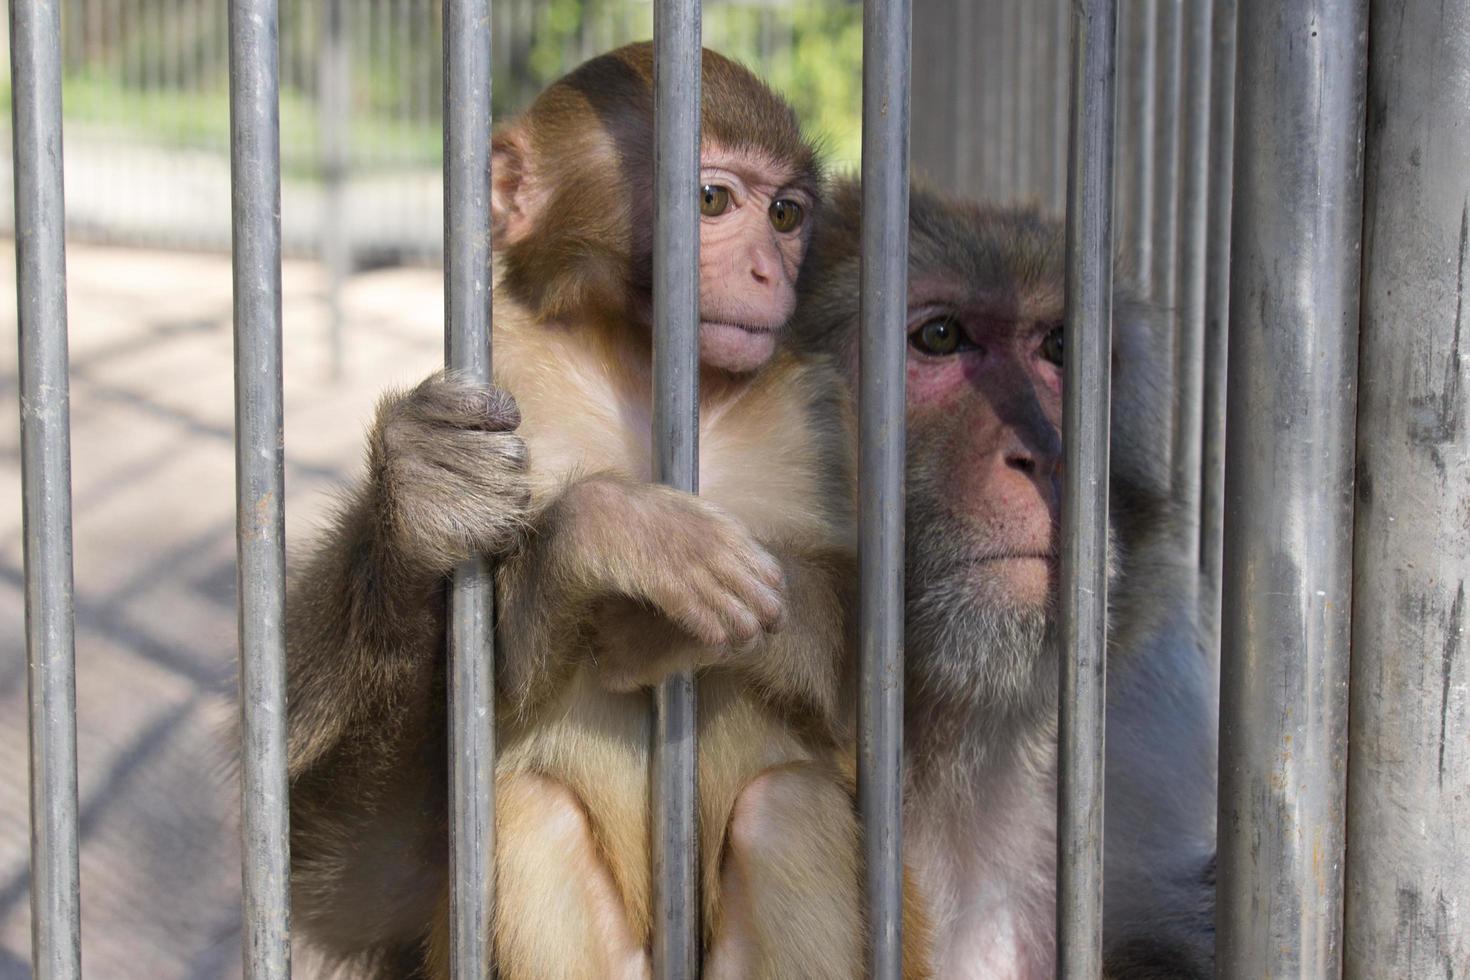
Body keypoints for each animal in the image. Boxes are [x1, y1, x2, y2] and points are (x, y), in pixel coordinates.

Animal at [280, 42, 923, 975]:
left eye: (788, 213)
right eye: (712, 200)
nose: (770, 272)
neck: (643, 372)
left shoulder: (825, 415)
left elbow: (870, 683)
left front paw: (697, 623)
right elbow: (332, 867)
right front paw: (598, 532)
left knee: (788, 810)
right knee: (523, 816)